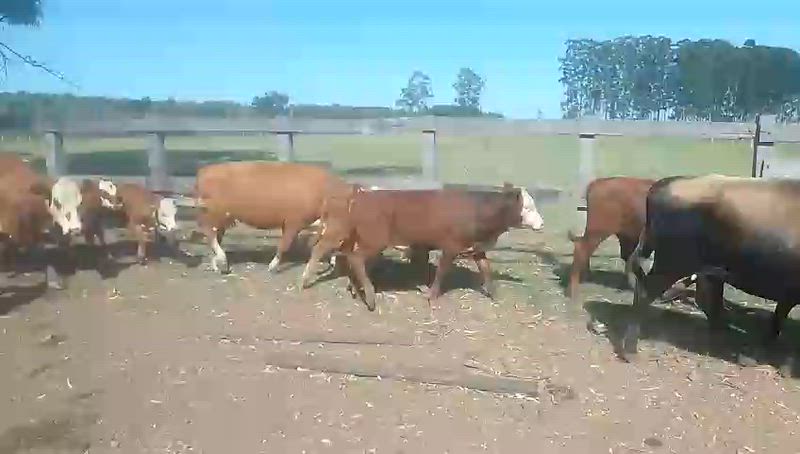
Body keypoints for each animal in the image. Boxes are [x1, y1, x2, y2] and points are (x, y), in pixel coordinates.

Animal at [195, 161, 350, 274]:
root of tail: (206, 170)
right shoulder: (293, 222)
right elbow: (284, 244)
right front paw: (273, 265)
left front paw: (332, 261)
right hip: (214, 214)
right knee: (209, 233)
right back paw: (221, 259)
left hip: (222, 218)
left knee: (215, 235)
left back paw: (215, 263)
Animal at [301, 183, 544, 311]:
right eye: (528, 207)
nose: (541, 224)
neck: (477, 210)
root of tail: (362, 194)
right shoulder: (450, 246)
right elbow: (442, 271)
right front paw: (431, 294)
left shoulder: (476, 248)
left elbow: (486, 269)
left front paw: (493, 294)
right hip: (370, 240)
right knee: (353, 258)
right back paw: (369, 298)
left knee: (350, 258)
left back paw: (356, 289)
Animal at [622, 174, 800, 361]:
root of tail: (667, 181)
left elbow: (779, 314)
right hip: (673, 263)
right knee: (645, 294)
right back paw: (630, 350)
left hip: (704, 269)